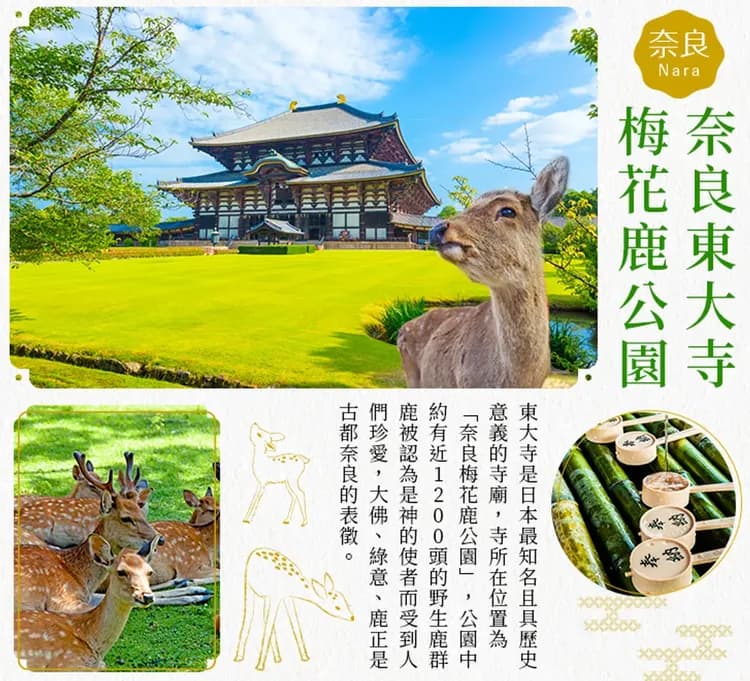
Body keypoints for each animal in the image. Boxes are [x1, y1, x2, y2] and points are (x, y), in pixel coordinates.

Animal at [397, 157, 569, 388]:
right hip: (413, 378)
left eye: (508, 211)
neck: (521, 380)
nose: (437, 229)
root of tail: (401, 328)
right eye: (471, 205)